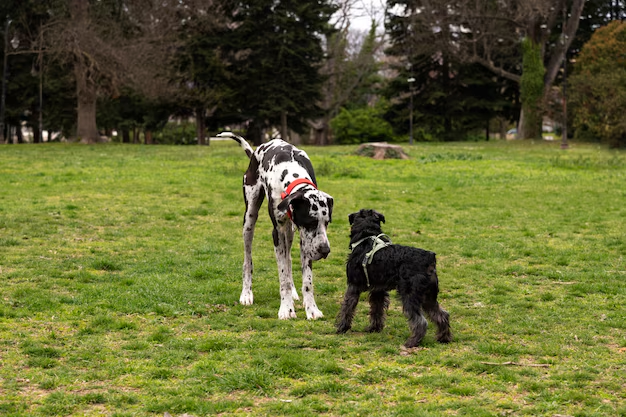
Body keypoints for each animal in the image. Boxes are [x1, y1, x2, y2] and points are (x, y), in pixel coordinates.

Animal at [216, 132, 332, 320]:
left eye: (327, 222)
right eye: (310, 222)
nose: (325, 250)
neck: (291, 172)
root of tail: (256, 151)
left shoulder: (304, 239)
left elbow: (306, 280)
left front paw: (312, 309)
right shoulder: (277, 233)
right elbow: (283, 276)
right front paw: (286, 309)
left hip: (290, 232)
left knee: (289, 260)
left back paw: (293, 291)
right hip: (249, 220)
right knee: (248, 261)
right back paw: (246, 293)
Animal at [336, 208, 448, 348]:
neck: (366, 237)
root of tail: (430, 259)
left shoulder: (353, 286)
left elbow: (347, 307)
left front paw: (342, 328)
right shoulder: (378, 290)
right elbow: (377, 309)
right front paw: (374, 328)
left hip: (410, 296)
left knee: (421, 322)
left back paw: (412, 342)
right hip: (428, 297)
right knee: (442, 315)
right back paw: (443, 338)